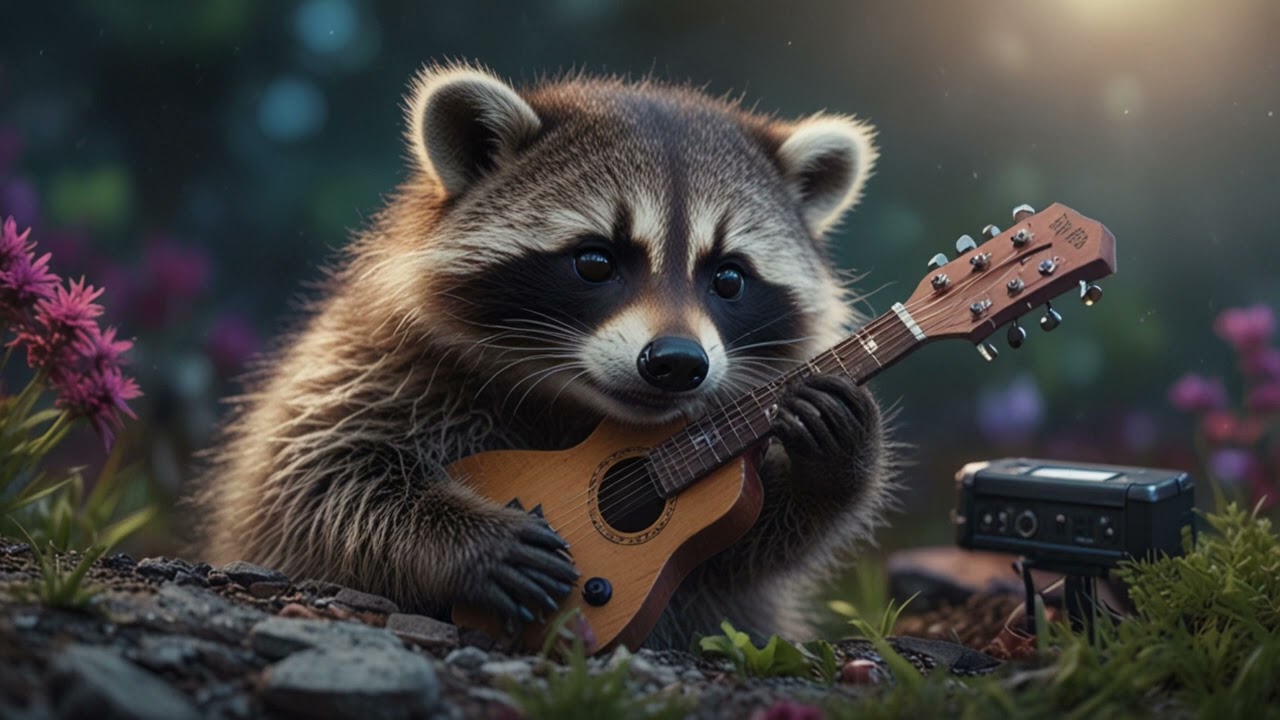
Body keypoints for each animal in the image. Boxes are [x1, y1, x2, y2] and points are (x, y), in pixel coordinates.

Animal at [195, 63, 895, 648]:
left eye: (728, 278)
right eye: (595, 261)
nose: (675, 362)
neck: (577, 407)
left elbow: (741, 557)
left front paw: (829, 460)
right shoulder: (368, 360)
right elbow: (309, 479)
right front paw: (467, 539)